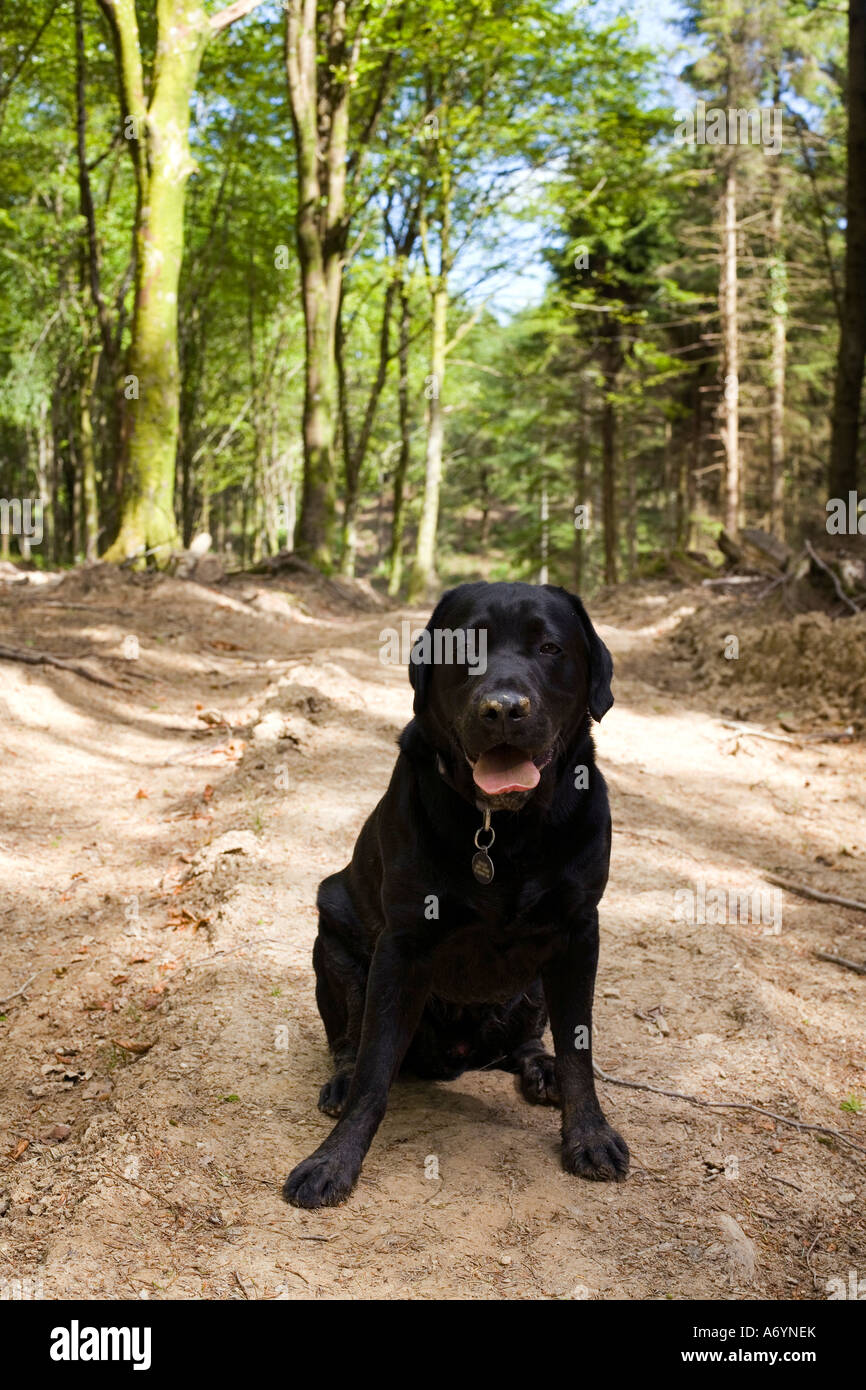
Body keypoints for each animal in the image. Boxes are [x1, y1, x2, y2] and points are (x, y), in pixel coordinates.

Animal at [284, 578, 631, 1206]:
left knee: (527, 1043)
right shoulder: (402, 948)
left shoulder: (578, 934)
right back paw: (340, 1080)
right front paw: (334, 1161)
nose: (503, 708)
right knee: (349, 1038)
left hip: (532, 989)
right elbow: (374, 1069)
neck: (502, 829)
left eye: (550, 648)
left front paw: (588, 1134)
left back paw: (538, 1067)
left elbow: (579, 1048)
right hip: (333, 938)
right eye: (464, 647)